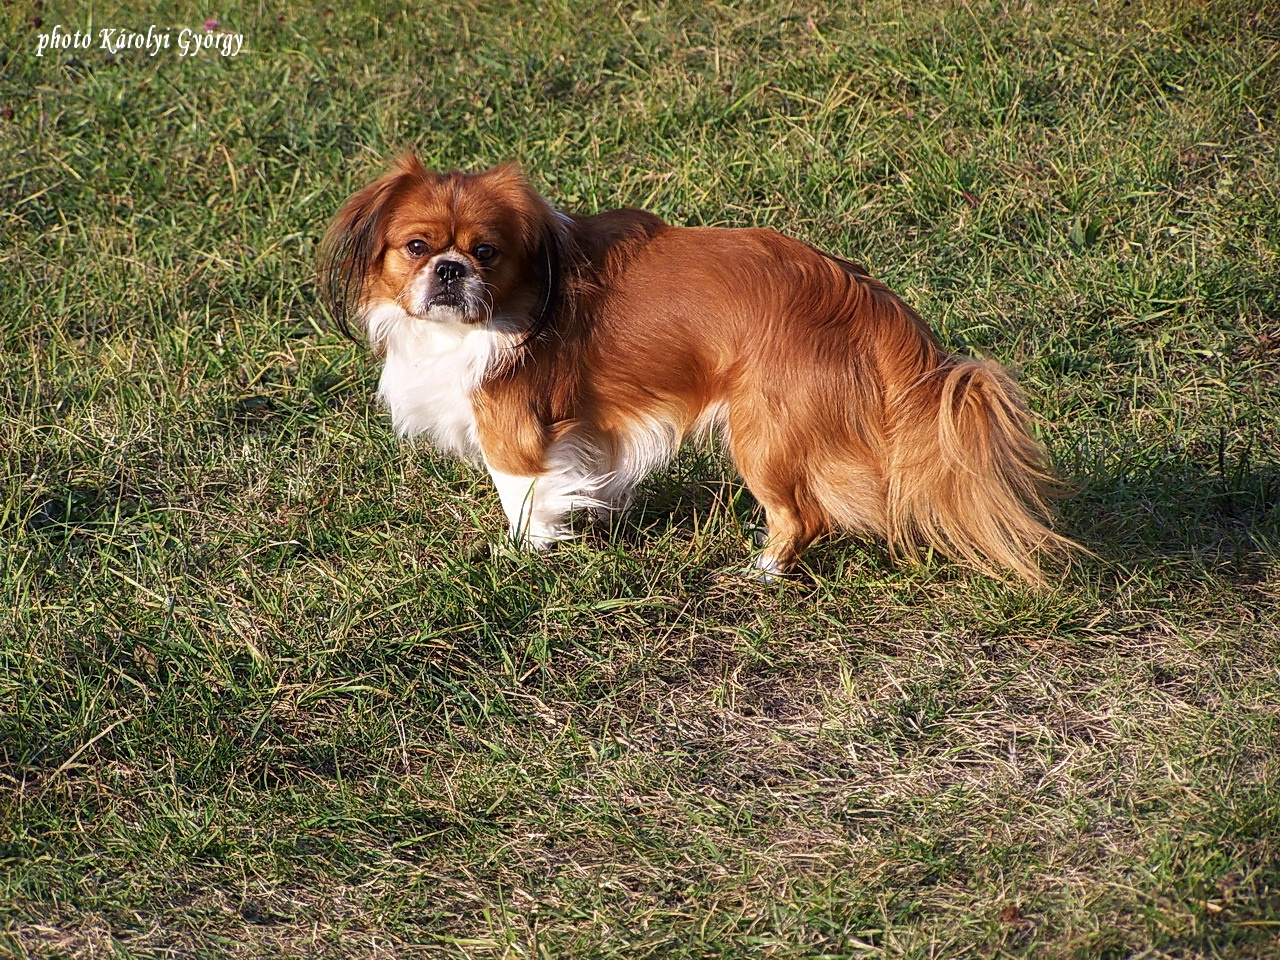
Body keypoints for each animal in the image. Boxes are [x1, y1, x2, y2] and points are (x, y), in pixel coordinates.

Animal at [317, 154, 1070, 583]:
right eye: (416, 247)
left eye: (486, 252)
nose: (449, 270)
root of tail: (858, 293)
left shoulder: (514, 431)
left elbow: (522, 498)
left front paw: (523, 555)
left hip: (760, 436)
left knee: (804, 516)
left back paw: (763, 570)